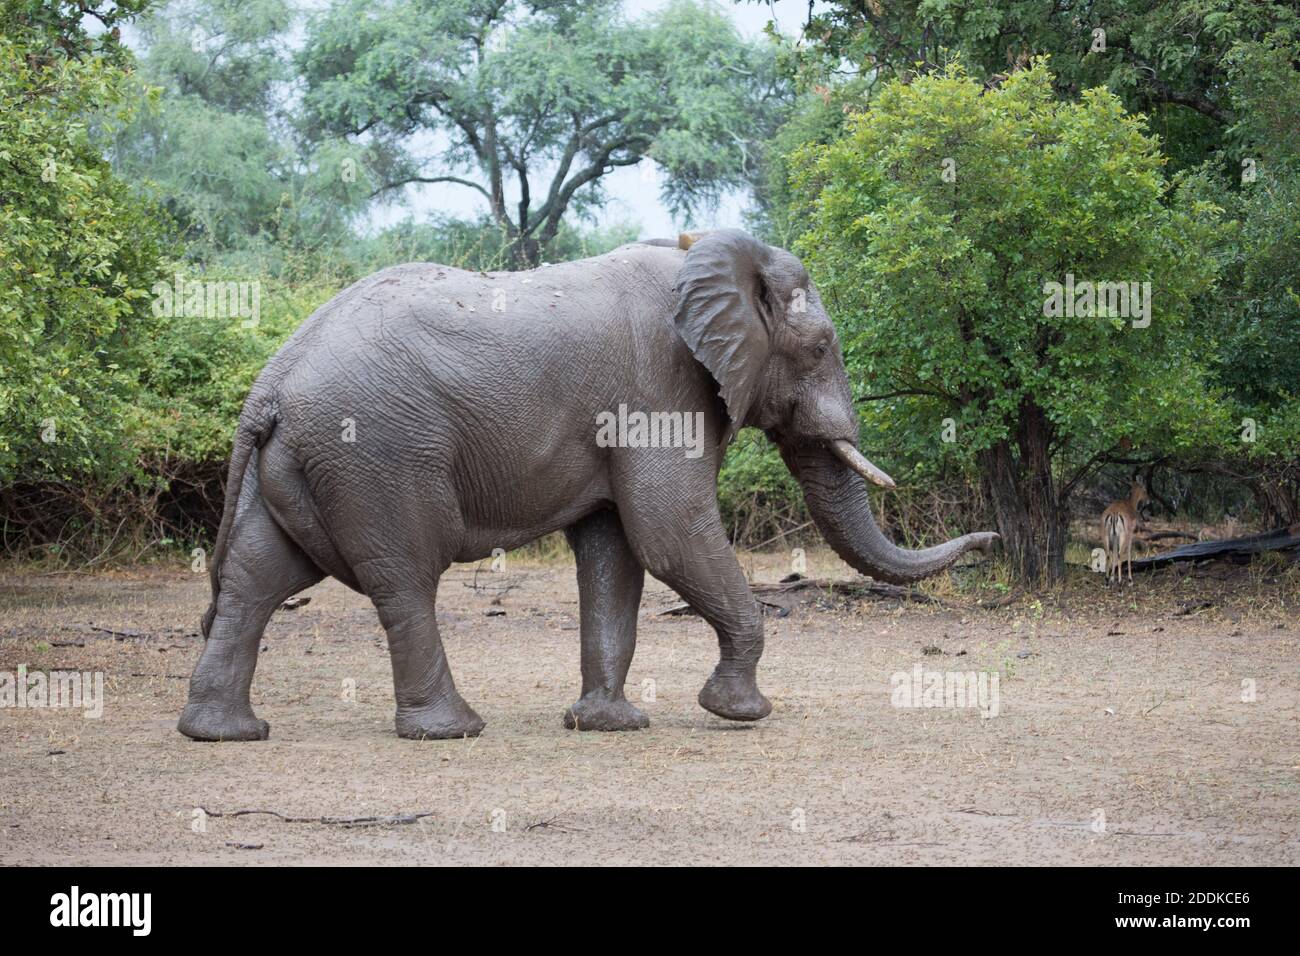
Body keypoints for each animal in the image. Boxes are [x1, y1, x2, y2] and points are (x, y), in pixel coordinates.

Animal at [178, 227, 993, 743]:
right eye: (820, 348)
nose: (990, 537)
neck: (706, 251)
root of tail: (270, 384)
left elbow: (615, 552)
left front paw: (606, 725)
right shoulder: (661, 388)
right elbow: (669, 534)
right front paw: (739, 713)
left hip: (302, 463)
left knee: (258, 577)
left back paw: (223, 734)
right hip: (377, 453)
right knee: (404, 577)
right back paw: (451, 730)